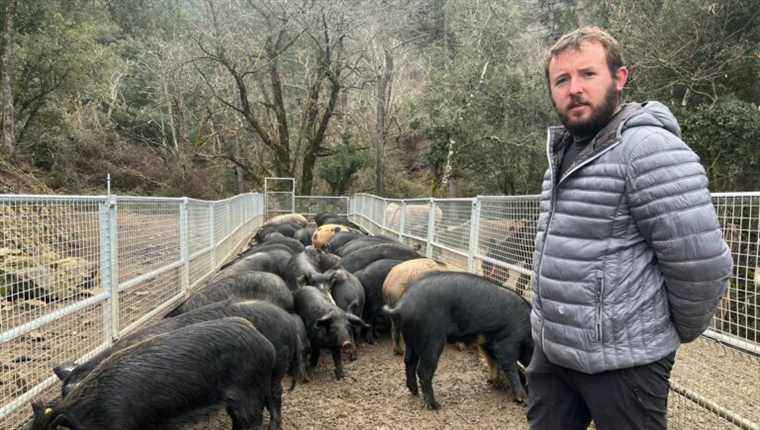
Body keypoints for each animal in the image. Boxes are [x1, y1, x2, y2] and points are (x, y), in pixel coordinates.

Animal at [382, 272, 532, 410]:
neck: (529, 331)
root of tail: (401, 306)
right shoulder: (507, 341)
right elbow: (509, 365)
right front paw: (522, 399)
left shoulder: (487, 342)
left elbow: (493, 362)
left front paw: (494, 383)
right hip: (431, 340)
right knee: (423, 370)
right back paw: (435, 406)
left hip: (411, 339)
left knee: (409, 361)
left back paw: (414, 392)